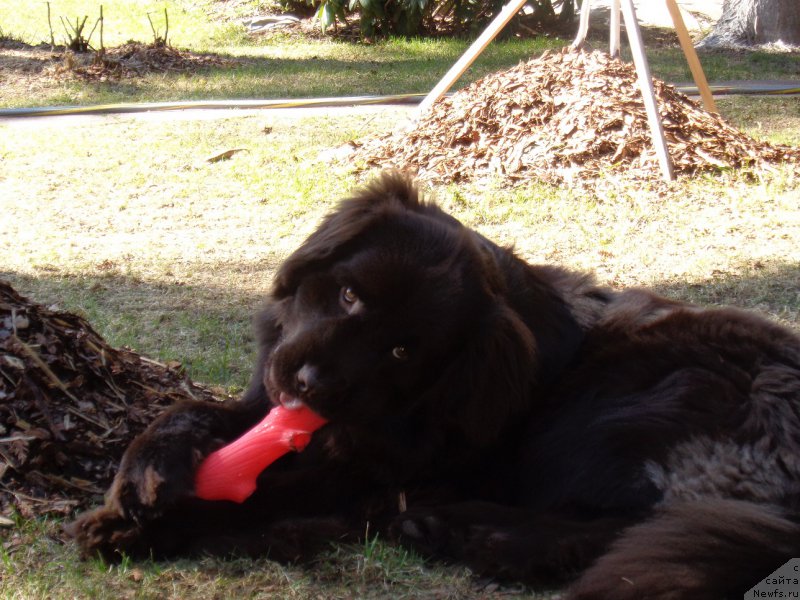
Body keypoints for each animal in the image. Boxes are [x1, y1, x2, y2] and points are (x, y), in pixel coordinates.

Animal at [67, 171, 800, 596]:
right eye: (349, 296)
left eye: (400, 351)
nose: (310, 382)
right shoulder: (273, 407)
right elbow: (190, 411)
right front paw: (144, 474)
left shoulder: (365, 470)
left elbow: (267, 498)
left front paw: (141, 528)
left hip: (608, 414)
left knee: (628, 526)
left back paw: (470, 534)